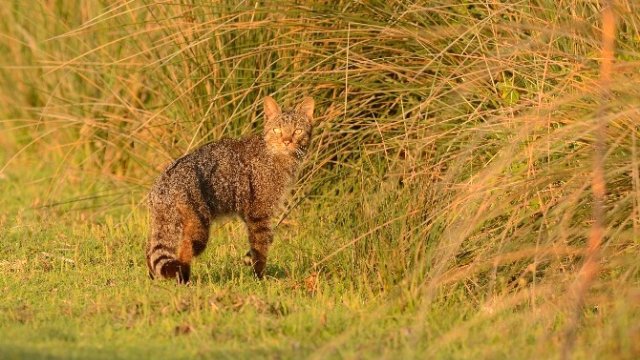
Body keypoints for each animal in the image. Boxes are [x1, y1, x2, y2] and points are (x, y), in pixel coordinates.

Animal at [146, 97, 316, 282]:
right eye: (277, 130)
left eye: (298, 131)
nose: (287, 141)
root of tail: (165, 181)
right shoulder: (259, 213)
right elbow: (260, 248)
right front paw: (259, 278)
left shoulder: (247, 210)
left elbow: (263, 241)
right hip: (198, 226)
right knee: (184, 250)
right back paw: (184, 279)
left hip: (164, 223)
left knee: (150, 251)